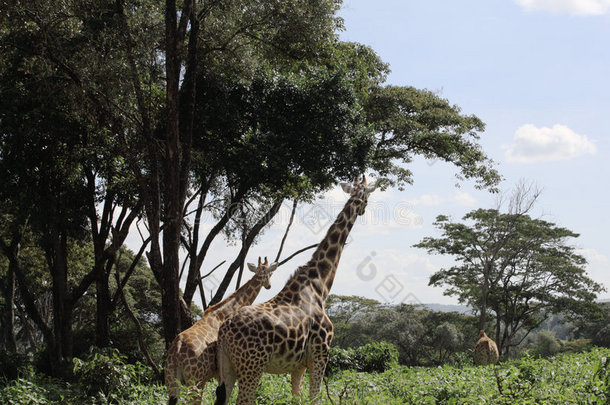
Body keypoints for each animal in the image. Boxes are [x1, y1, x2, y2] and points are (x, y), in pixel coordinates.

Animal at [162, 258, 276, 402]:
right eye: (270, 273)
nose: (269, 285)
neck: (222, 313)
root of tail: (176, 350)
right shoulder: (220, 371)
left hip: (171, 381)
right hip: (195, 381)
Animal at [214, 176, 376, 404]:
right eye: (368, 195)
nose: (362, 209)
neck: (319, 286)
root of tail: (224, 331)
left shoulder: (298, 365)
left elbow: (296, 397)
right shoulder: (320, 354)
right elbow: (315, 397)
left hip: (226, 367)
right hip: (252, 366)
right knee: (244, 399)